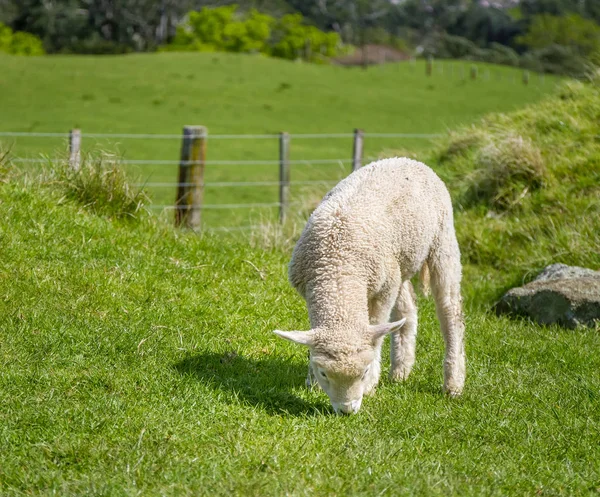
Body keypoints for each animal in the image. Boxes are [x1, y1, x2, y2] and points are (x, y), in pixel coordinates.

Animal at [274, 157, 466, 412]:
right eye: (324, 373)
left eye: (363, 372)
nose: (347, 410)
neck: (339, 271)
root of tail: (409, 159)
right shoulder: (311, 292)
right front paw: (311, 381)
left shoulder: (383, 291)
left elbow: (376, 331)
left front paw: (371, 384)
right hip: (398, 263)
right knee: (407, 310)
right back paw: (400, 371)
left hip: (442, 241)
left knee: (450, 311)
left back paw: (453, 384)